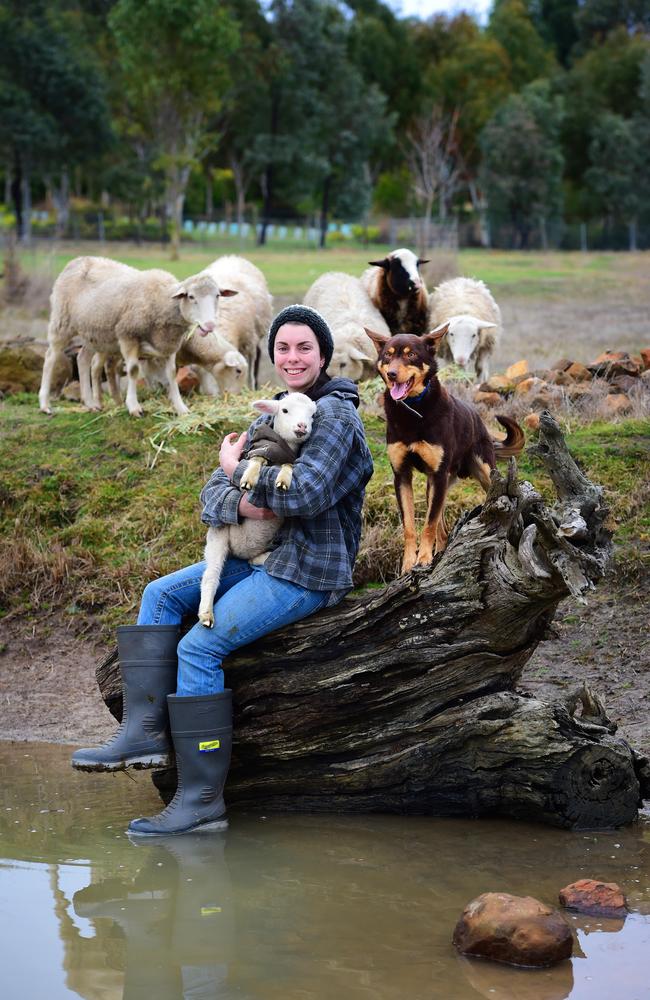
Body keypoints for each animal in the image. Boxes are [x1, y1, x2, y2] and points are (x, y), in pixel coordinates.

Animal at [38, 258, 235, 418]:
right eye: (191, 296)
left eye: (217, 295)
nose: (210, 325)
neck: (163, 302)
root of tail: (76, 261)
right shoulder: (128, 335)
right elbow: (133, 370)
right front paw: (133, 407)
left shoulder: (168, 345)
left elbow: (172, 374)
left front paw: (181, 408)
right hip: (62, 322)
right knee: (51, 357)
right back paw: (45, 404)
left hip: (94, 334)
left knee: (83, 359)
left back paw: (90, 403)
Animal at [196, 394, 316, 628]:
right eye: (284, 410)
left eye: (312, 414)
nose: (302, 427)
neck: (284, 446)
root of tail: (238, 552)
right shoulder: (258, 452)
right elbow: (257, 460)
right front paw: (248, 479)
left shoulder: (290, 458)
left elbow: (289, 466)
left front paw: (283, 481)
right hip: (218, 535)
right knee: (210, 576)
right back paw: (206, 614)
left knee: (252, 560)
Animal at [364, 328, 520, 576]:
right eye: (388, 355)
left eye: (410, 355)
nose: (391, 374)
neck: (413, 410)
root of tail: (478, 418)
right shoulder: (402, 475)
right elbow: (410, 525)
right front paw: (409, 563)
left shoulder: (437, 474)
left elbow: (428, 524)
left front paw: (423, 559)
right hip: (436, 484)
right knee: (442, 529)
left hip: (484, 473)